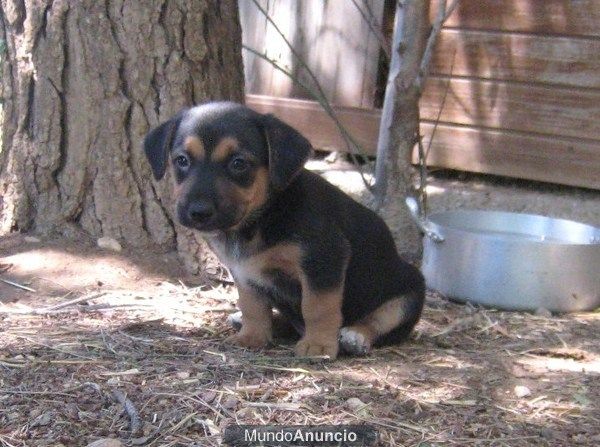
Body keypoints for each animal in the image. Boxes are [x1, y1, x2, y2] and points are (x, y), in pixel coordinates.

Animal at [144, 102, 426, 360]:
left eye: (238, 163)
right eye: (181, 160)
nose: (198, 212)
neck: (261, 217)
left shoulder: (323, 260)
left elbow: (318, 307)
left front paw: (318, 346)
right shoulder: (245, 273)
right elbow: (253, 307)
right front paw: (251, 337)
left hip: (409, 293)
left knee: (380, 322)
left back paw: (354, 336)